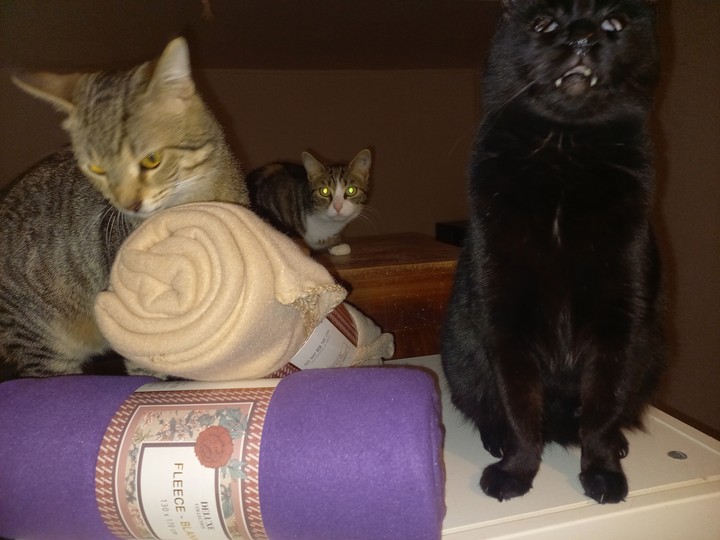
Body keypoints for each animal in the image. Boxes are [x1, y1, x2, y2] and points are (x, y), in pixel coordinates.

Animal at [441, 0, 667, 505]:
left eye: (613, 24)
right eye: (543, 24)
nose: (582, 36)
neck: (565, 152)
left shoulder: (618, 321)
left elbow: (602, 408)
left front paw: (602, 471)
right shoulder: (505, 318)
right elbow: (521, 410)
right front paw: (515, 472)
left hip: (651, 349)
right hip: (461, 352)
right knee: (487, 409)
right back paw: (497, 441)